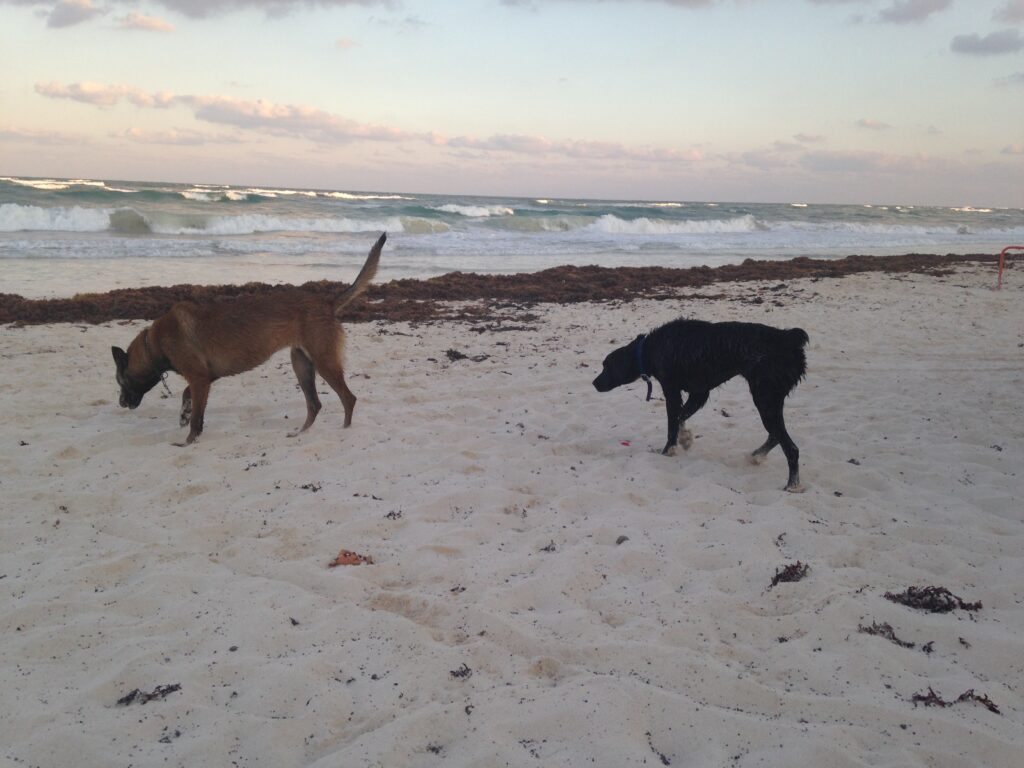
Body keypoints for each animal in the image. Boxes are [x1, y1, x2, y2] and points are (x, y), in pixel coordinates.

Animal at [111, 233, 385, 444]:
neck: (155, 343)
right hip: (301, 364)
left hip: (324, 362)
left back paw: (344, 432)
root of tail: (327, 303)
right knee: (315, 404)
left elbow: (196, 419)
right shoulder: (206, 377)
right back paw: (299, 434)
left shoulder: (200, 379)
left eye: (121, 381)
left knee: (348, 398)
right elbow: (188, 398)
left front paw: (187, 441)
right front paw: (184, 414)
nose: (121, 403)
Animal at [593, 319, 806, 493]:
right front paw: (685, 438)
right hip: (770, 402)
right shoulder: (699, 393)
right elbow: (681, 417)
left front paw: (668, 450)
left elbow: (672, 424)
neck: (650, 348)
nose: (594, 383)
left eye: (606, 366)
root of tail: (788, 338)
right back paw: (756, 456)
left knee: (791, 448)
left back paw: (792, 485)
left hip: (765, 400)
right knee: (775, 435)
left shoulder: (672, 392)